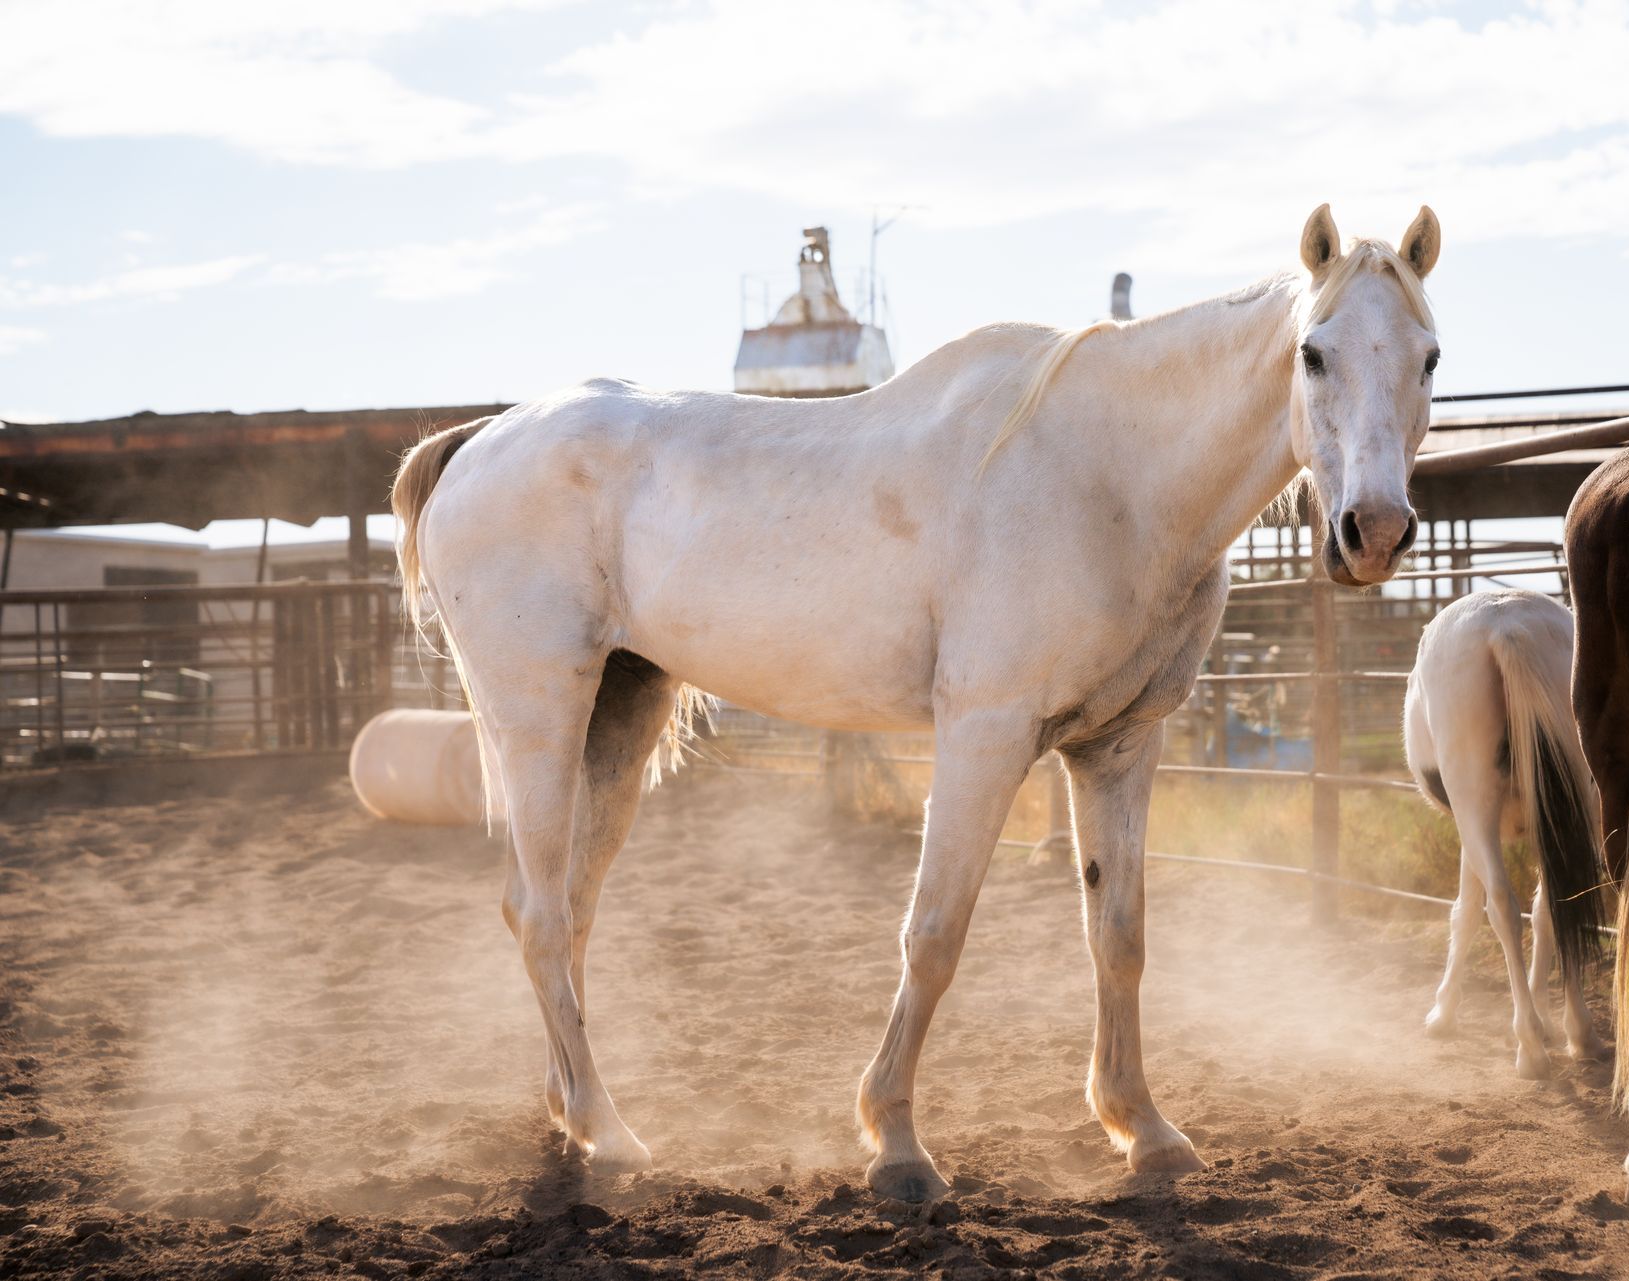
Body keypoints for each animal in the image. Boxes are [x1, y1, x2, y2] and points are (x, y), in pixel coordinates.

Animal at [392, 204, 1443, 1200]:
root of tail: (477, 440)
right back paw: (609, 1133)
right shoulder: (984, 735)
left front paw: (1143, 1129)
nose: (1375, 532)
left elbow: (1119, 936)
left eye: (1430, 356)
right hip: (538, 715)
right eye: (1312, 352)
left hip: (621, 714)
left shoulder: (1119, 746)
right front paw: (896, 1145)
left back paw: (571, 1112)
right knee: (535, 911)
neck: (1108, 475)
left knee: (568, 908)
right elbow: (934, 933)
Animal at [1403, 590, 1605, 1078]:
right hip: (1577, 806)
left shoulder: (1471, 829)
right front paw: (1547, 1018)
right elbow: (1547, 913)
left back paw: (1529, 1048)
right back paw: (1579, 1033)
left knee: (1502, 907)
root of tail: (1508, 622)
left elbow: (1466, 911)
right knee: (1563, 899)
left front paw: (1443, 1012)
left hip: (1473, 803)